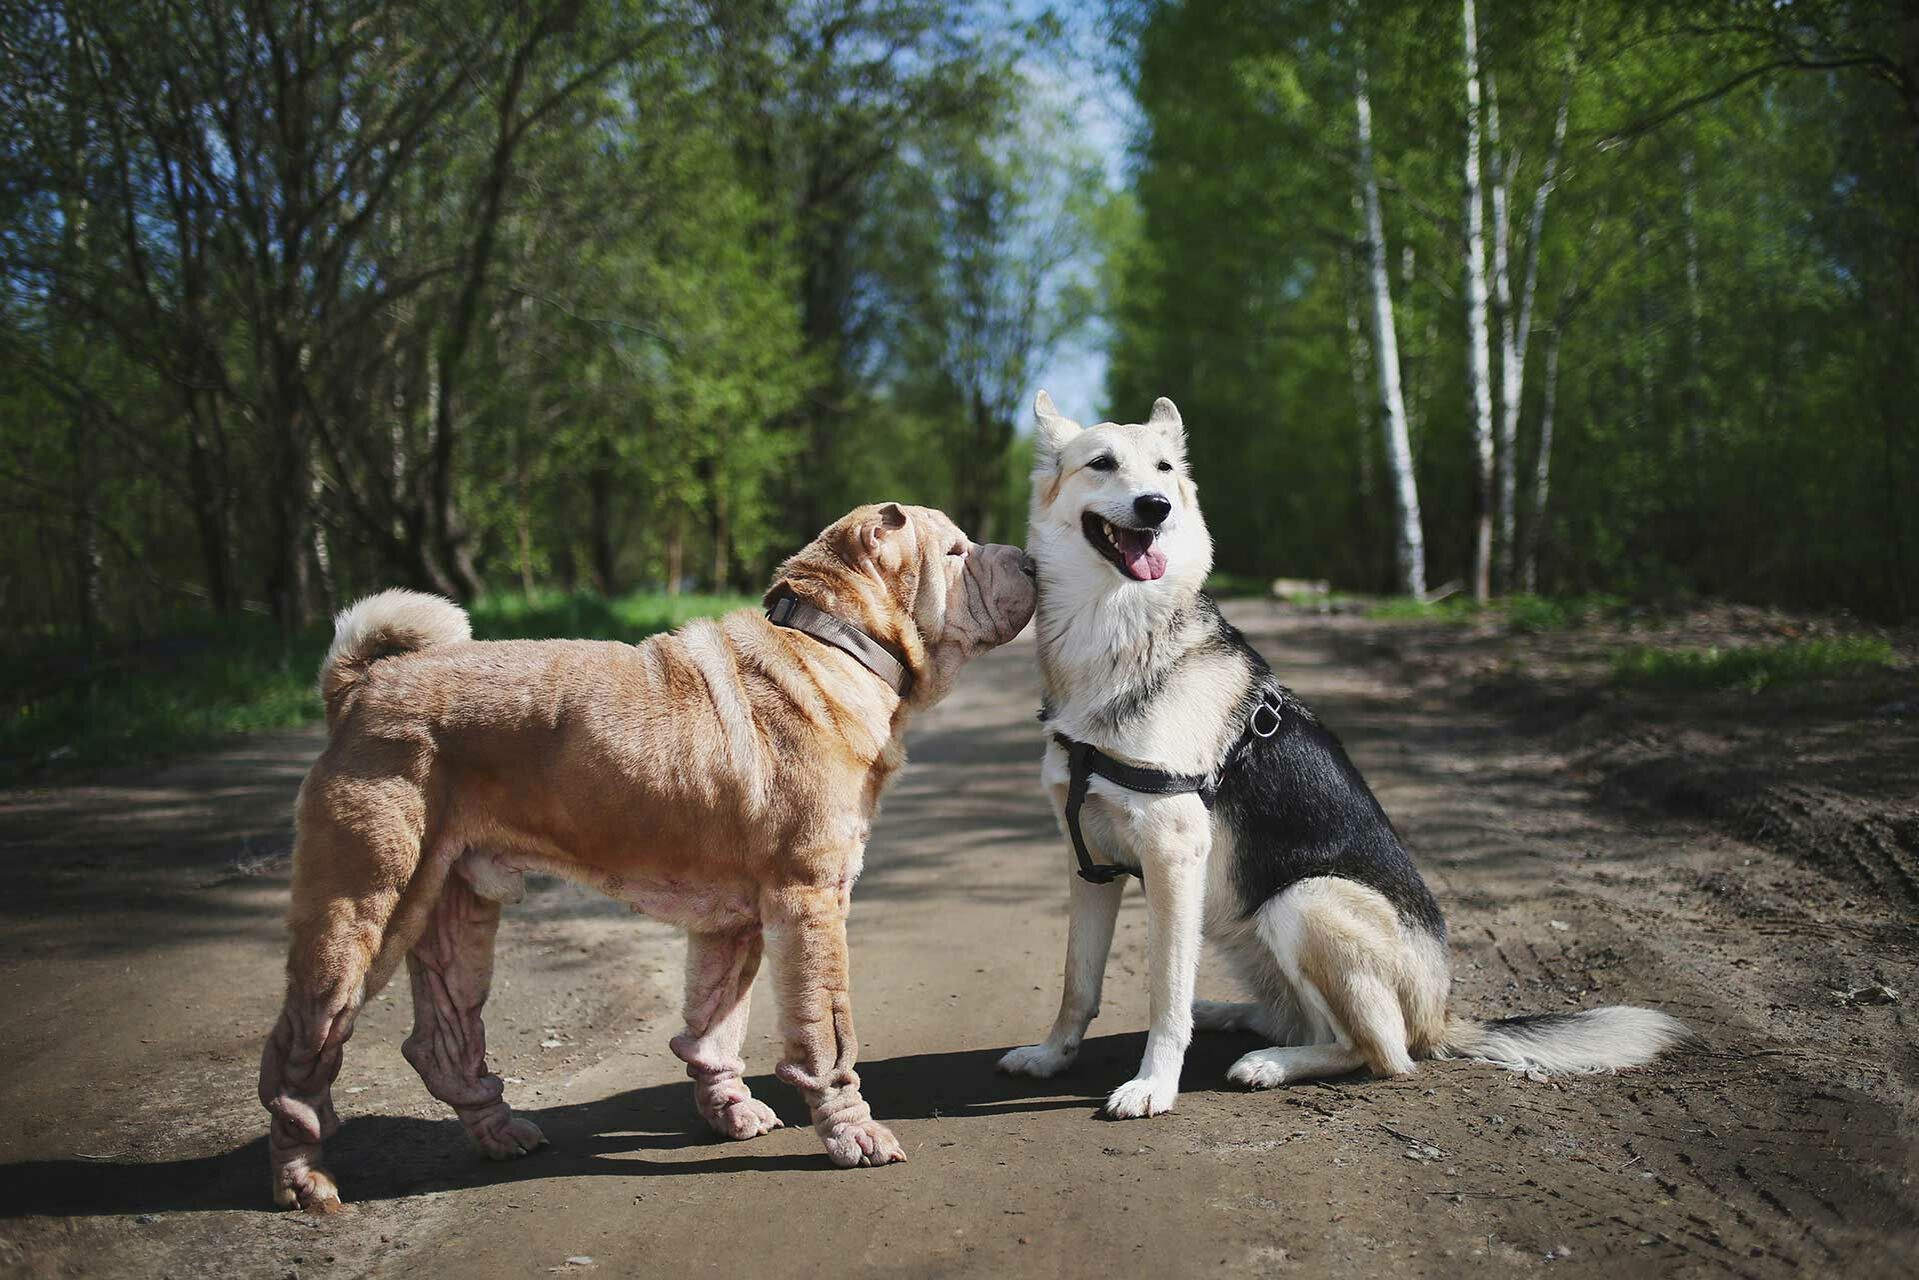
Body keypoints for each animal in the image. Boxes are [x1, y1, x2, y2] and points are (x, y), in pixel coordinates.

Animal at [259, 502, 1036, 1212]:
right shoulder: (811, 899)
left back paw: (503, 1132)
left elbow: (715, 1024)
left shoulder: (736, 922)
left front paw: (731, 1111)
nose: (1030, 559)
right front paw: (853, 1133)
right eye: (957, 552)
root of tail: (358, 685)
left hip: (454, 910)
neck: (835, 643)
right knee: (298, 1058)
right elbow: (825, 1034)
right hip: (363, 914)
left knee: (444, 1041)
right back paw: (304, 1180)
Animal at [997, 393, 1688, 1120]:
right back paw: (1227, 1016)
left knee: (1379, 1053)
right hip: (1245, 924)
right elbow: (1078, 983)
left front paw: (1154, 1084)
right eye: (1101, 463)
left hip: (1302, 901)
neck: (1115, 631)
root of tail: (1441, 1016)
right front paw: (1051, 1056)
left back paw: (1269, 1064)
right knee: (1297, 1019)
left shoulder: (1173, 855)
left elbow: (1164, 991)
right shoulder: (1091, 863)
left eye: (1162, 469)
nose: (1157, 506)